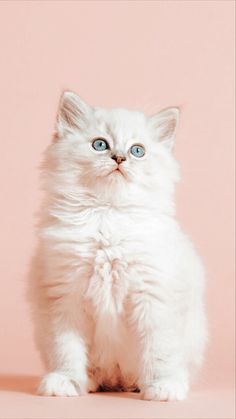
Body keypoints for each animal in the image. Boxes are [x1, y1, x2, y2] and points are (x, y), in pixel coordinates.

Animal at [29, 91, 206, 400]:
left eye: (138, 151)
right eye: (100, 145)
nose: (120, 158)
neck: (107, 214)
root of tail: (117, 380)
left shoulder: (155, 295)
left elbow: (160, 349)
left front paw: (162, 387)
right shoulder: (63, 297)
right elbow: (66, 350)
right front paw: (66, 382)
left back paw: (142, 385)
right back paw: (88, 382)